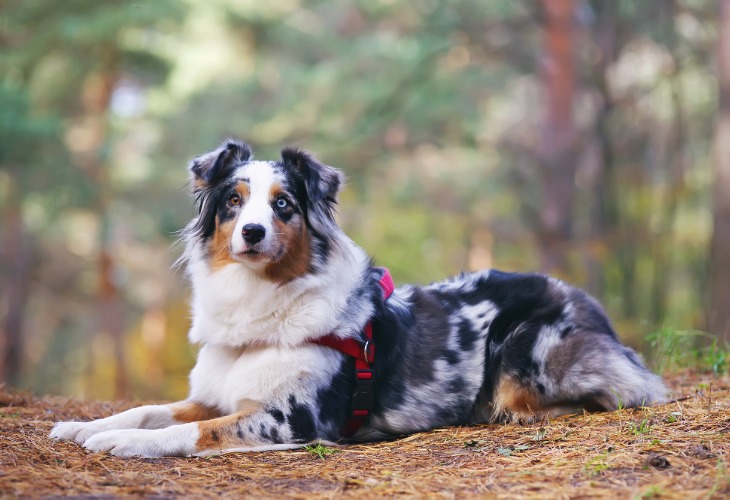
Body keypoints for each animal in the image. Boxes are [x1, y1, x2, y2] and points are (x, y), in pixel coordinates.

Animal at [49, 141, 664, 458]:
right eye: (233, 202)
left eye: (283, 205)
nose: (252, 232)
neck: (261, 305)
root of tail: (586, 302)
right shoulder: (216, 395)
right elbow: (150, 408)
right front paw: (85, 426)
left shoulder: (290, 420)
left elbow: (189, 431)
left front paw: (123, 442)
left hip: (525, 352)